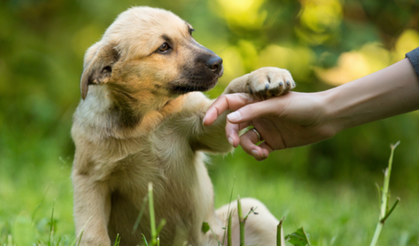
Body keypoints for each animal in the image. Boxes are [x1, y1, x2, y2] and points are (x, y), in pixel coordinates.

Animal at [72, 6, 296, 246]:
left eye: (190, 33)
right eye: (163, 47)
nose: (218, 62)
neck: (148, 119)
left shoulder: (204, 126)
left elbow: (231, 92)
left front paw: (264, 75)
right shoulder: (90, 179)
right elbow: (93, 234)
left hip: (251, 211)